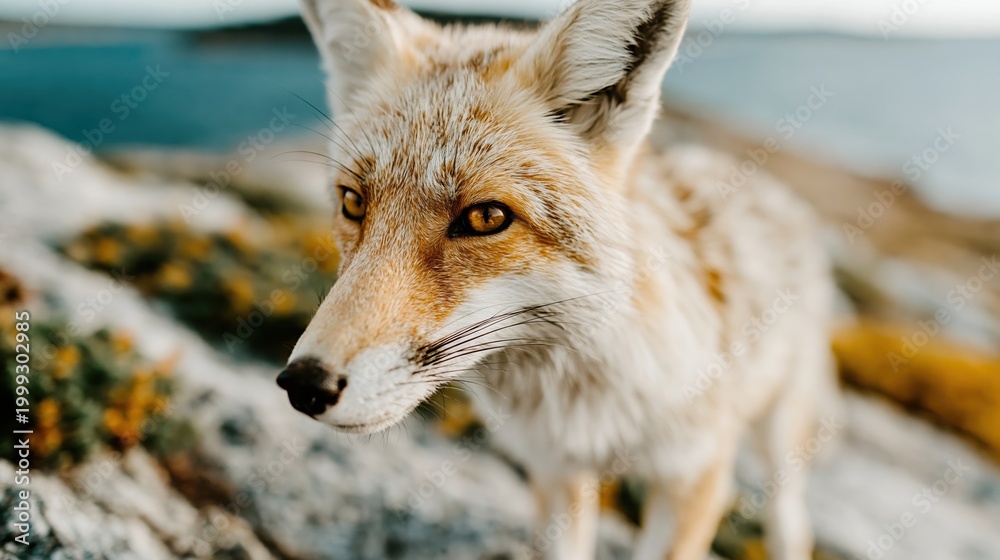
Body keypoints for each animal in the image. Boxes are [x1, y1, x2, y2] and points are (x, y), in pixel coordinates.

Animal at [276, 0, 838, 559]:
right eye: (353, 203)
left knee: (790, 517)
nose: (304, 383)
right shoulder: (554, 469)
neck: (585, 403)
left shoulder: (695, 473)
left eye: (486, 217)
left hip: (779, 435)